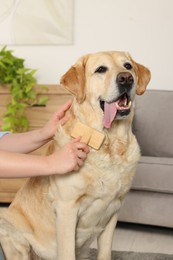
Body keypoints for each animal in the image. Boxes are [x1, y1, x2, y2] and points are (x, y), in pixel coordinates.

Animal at [0, 49, 150, 258]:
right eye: (101, 69)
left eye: (127, 66)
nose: (126, 78)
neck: (109, 142)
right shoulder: (66, 208)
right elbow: (67, 252)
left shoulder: (114, 208)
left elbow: (105, 252)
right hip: (9, 228)